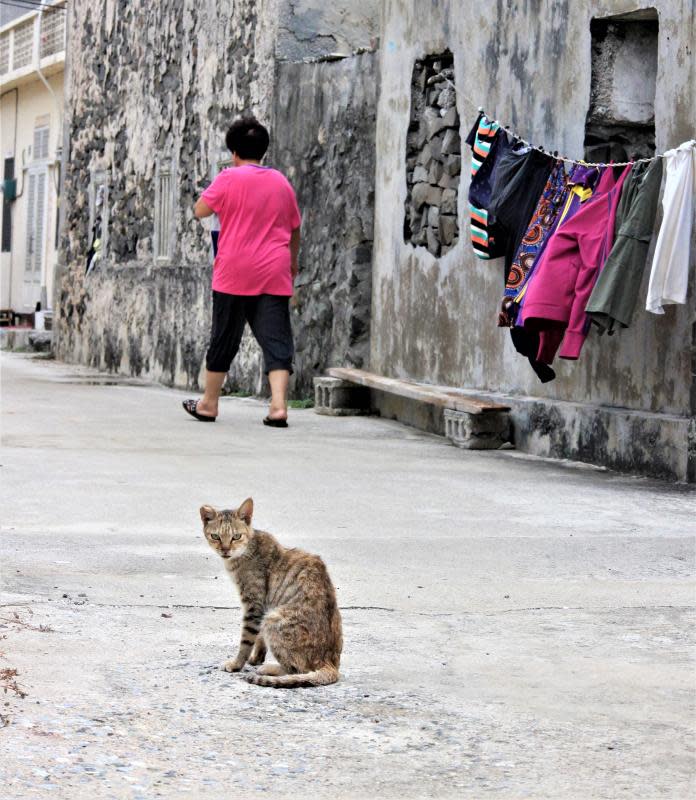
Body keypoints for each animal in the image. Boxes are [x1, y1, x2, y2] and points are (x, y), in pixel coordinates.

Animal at [198, 496, 342, 684]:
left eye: (236, 536)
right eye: (215, 536)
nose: (225, 550)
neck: (247, 549)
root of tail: (331, 665)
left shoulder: (254, 606)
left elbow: (246, 641)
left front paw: (236, 664)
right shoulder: (262, 608)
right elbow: (259, 638)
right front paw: (256, 658)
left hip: (273, 618)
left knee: (297, 669)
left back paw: (269, 669)